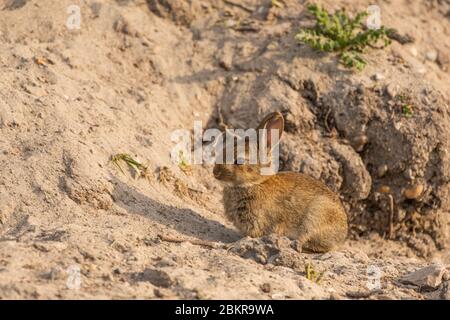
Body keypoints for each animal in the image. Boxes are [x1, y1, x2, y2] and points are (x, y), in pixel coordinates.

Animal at [214, 112, 348, 252]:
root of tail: (343, 234)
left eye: (239, 161)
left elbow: (249, 237)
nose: (215, 172)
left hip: (316, 215)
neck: (256, 183)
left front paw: (230, 244)